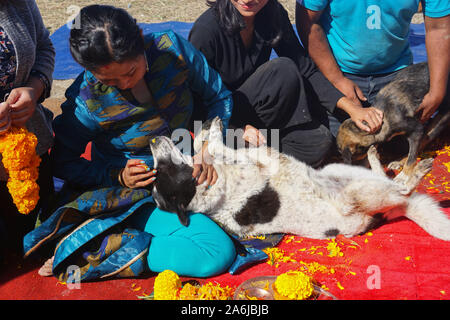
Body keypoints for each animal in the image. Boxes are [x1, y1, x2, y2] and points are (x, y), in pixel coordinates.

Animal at [149, 115, 450, 240]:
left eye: (159, 170)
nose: (152, 140)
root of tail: (392, 211)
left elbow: (204, 145)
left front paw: (207, 129)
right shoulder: (249, 164)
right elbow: (214, 147)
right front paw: (211, 134)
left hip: (337, 171)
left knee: (387, 179)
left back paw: (378, 156)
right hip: (357, 195)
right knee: (403, 188)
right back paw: (418, 170)